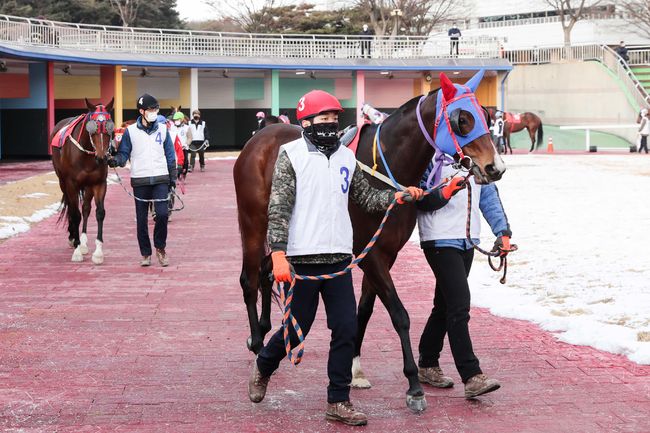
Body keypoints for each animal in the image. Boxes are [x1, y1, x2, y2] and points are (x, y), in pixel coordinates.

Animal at [52, 98, 116, 264]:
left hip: (88, 186)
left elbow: (99, 212)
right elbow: (75, 214)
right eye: (92, 129)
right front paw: (76, 251)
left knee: (86, 208)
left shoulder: (99, 183)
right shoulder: (71, 184)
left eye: (110, 128)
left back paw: (83, 242)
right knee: (71, 207)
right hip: (62, 182)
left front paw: (98, 253)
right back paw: (74, 239)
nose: (102, 158)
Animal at [233, 79, 506, 410]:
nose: (495, 167)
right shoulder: (370, 254)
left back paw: (263, 329)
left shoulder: (385, 253)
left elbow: (363, 310)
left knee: (267, 271)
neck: (388, 169)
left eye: (485, 116)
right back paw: (256, 341)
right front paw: (414, 385)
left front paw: (355, 369)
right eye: (462, 120)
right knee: (249, 279)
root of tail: (258, 139)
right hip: (253, 223)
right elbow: (399, 315)